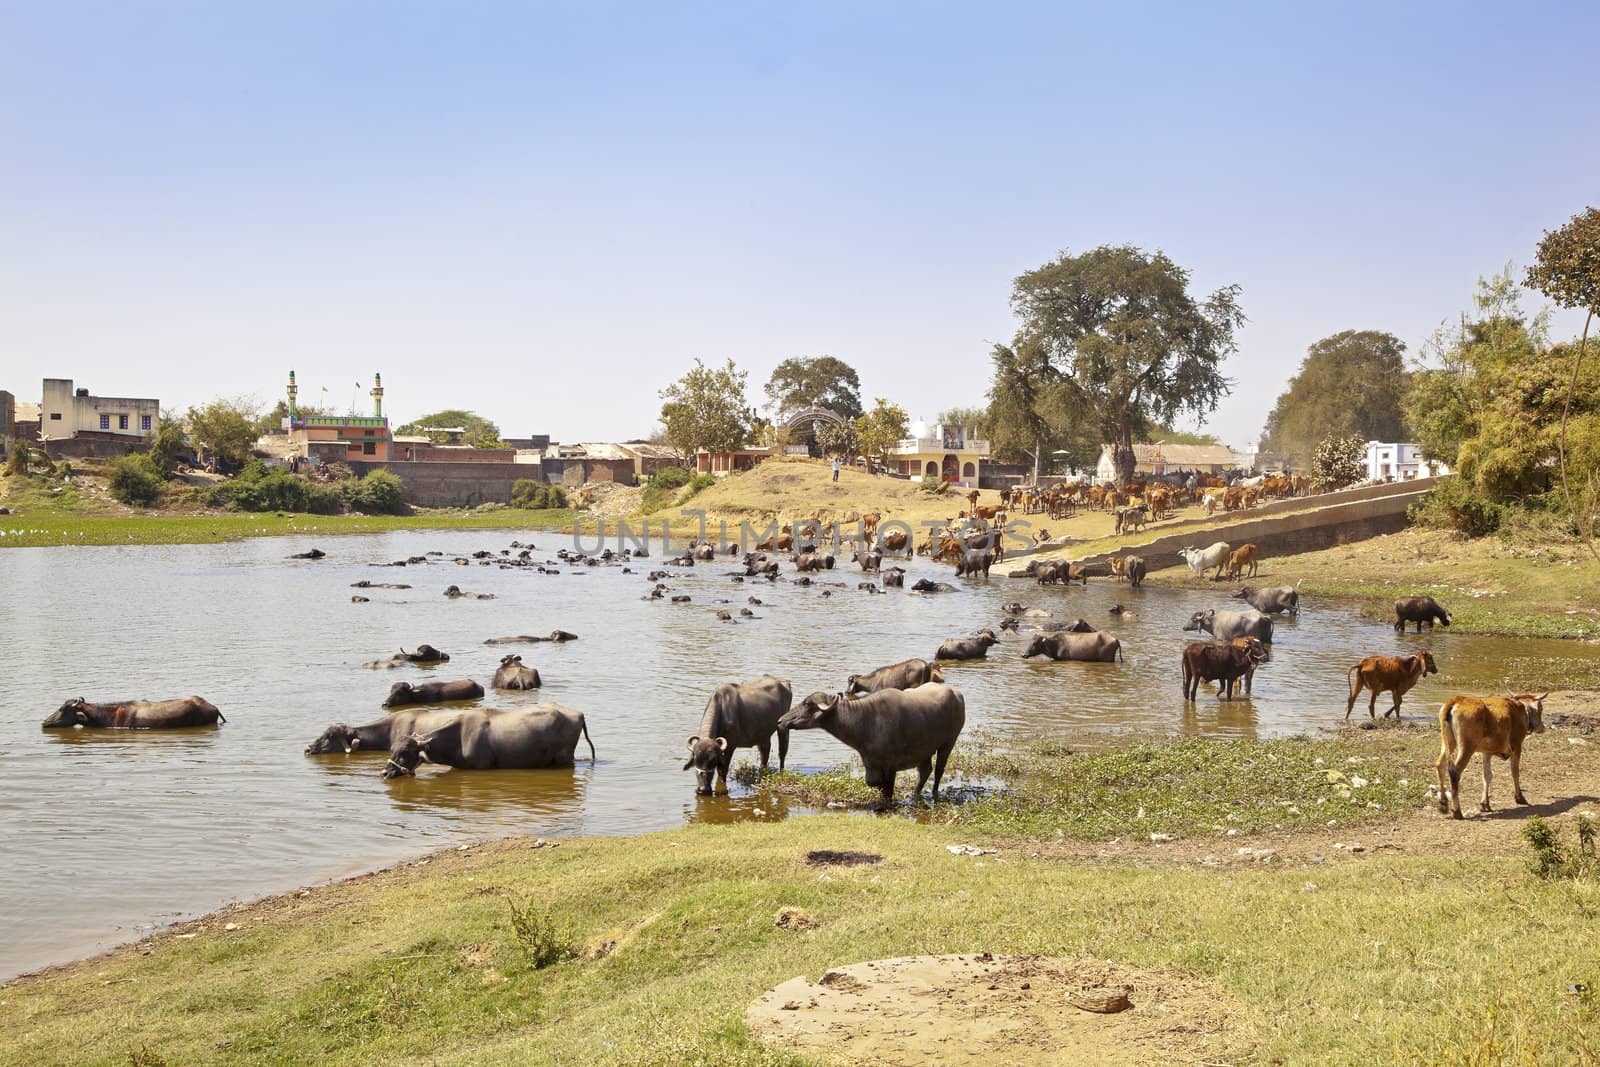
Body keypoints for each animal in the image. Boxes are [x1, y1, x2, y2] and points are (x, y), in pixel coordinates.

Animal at [382, 703, 601, 780]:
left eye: (404, 753)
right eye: (392, 749)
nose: (385, 772)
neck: (458, 738)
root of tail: (577, 714)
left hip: (564, 758)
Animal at [774, 684, 960, 809]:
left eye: (807, 704)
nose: (780, 720)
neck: (867, 721)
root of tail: (956, 693)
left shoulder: (891, 765)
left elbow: (888, 789)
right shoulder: (870, 762)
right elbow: (873, 782)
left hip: (948, 743)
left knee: (938, 771)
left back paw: (934, 794)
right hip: (924, 750)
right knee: (925, 771)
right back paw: (915, 794)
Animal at [1440, 697, 1548, 825]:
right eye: (1540, 709)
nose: (1542, 728)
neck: (1521, 710)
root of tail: (1457, 699)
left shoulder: (1487, 753)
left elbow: (1487, 776)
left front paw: (1485, 804)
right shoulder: (1517, 746)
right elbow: (1515, 772)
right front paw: (1519, 797)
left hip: (1448, 743)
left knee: (1439, 765)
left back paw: (1443, 804)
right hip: (1466, 748)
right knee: (1454, 772)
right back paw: (1457, 811)